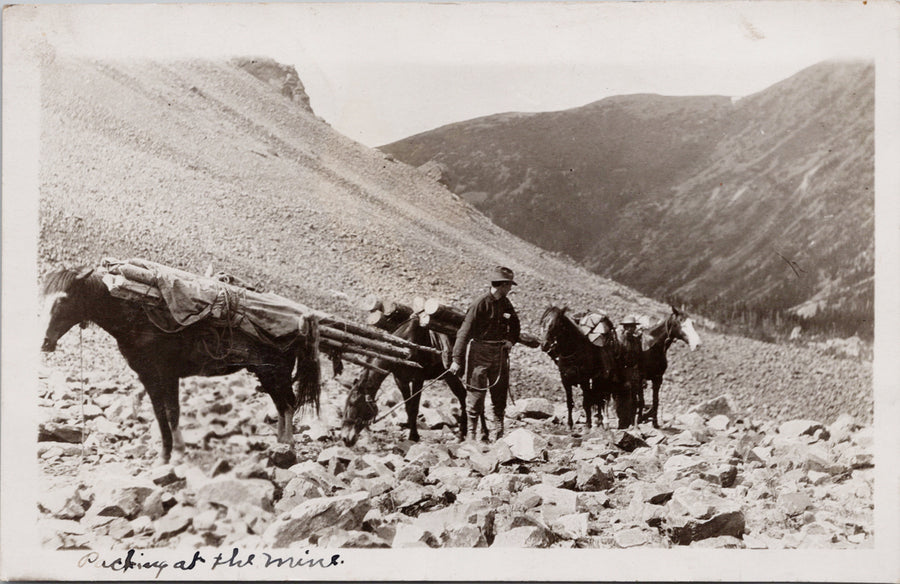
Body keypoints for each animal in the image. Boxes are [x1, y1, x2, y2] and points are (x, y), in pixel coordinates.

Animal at [338, 314, 464, 448]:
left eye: (352, 404)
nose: (345, 438)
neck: (405, 348)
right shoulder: (401, 380)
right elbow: (408, 407)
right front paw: (411, 432)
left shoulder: (418, 380)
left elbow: (414, 408)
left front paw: (413, 436)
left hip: (454, 374)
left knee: (464, 397)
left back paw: (463, 434)